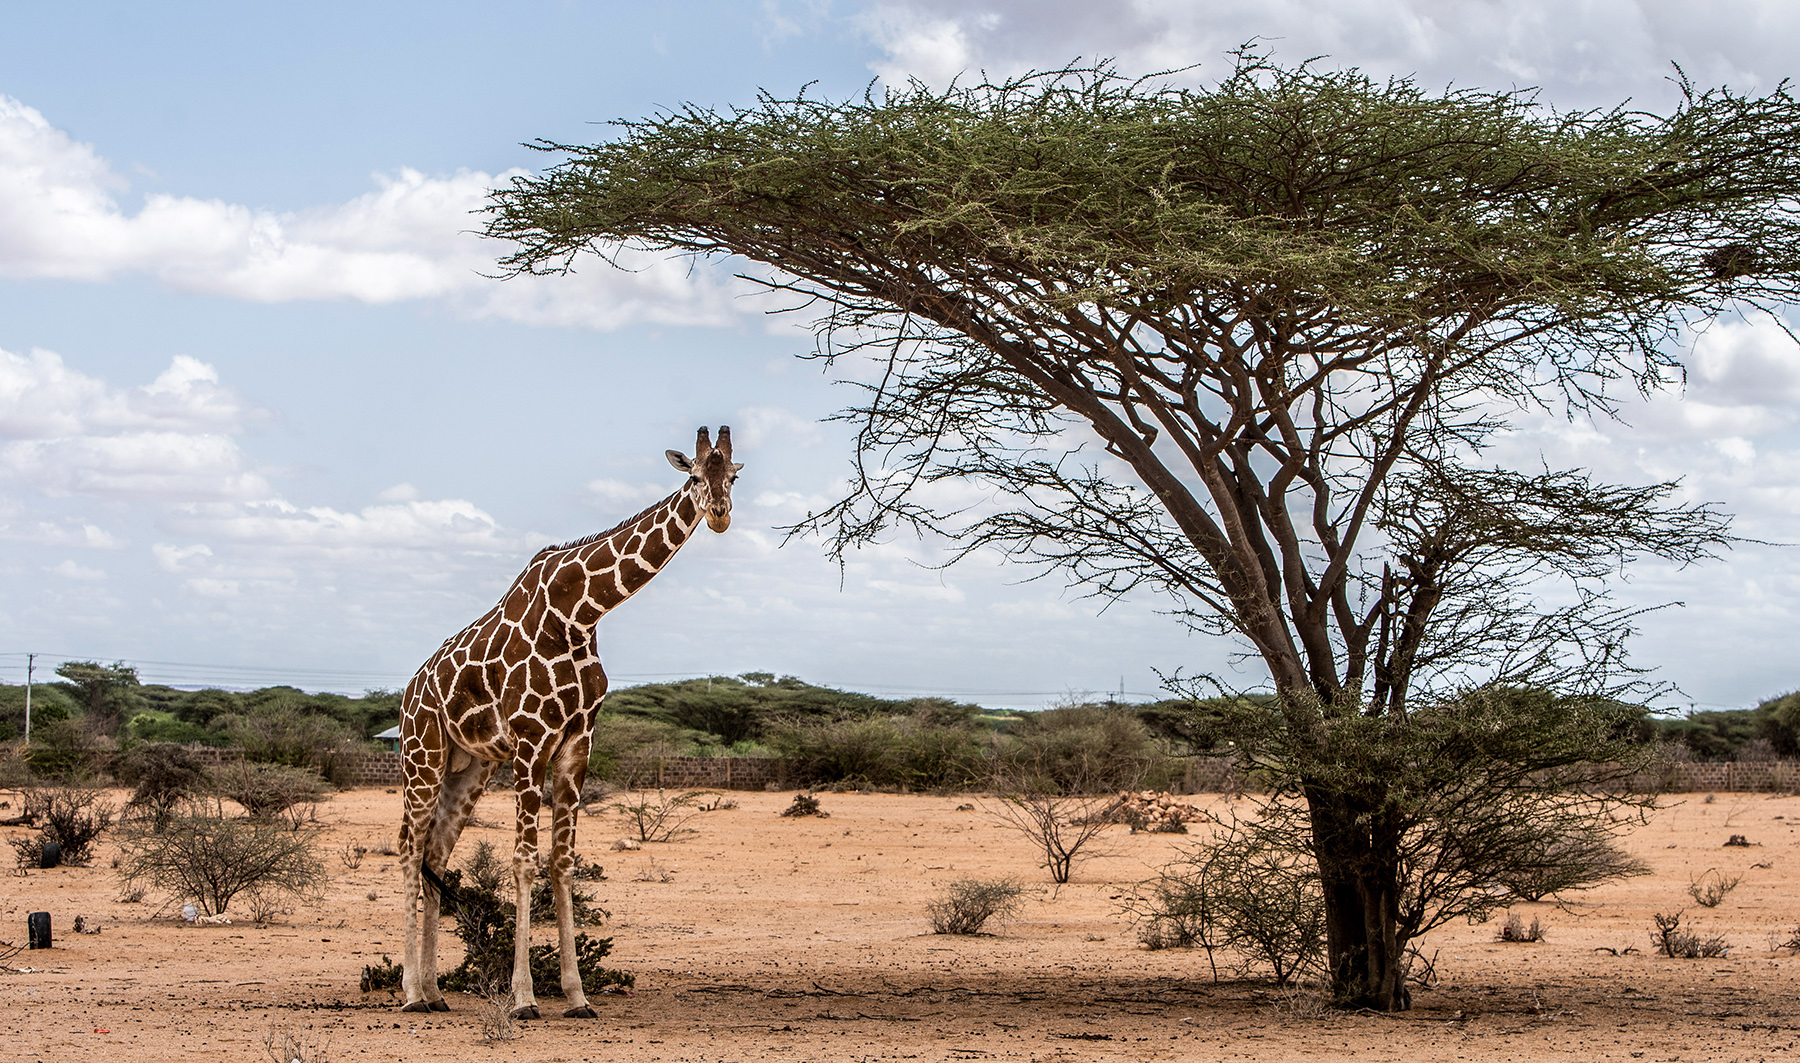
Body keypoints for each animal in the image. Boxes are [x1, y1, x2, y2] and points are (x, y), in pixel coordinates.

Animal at [397, 426, 741, 1018]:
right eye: (696, 475)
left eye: (733, 477)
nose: (719, 513)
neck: (580, 612)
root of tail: (408, 692)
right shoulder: (532, 738)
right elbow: (522, 861)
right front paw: (523, 998)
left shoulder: (578, 741)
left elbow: (562, 862)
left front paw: (577, 996)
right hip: (422, 756)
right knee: (409, 850)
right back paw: (411, 991)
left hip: (470, 768)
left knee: (437, 852)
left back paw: (437, 992)